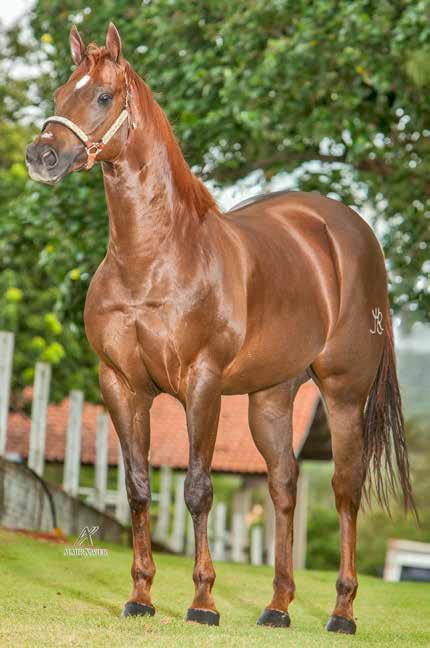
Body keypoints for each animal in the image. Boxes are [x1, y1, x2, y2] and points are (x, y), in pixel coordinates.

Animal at [25, 24, 414, 632]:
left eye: (104, 97)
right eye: (62, 92)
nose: (41, 156)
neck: (153, 257)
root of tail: (352, 233)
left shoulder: (201, 384)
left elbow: (197, 488)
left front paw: (203, 601)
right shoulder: (121, 385)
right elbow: (138, 488)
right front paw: (141, 596)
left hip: (344, 395)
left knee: (345, 491)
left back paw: (342, 611)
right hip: (270, 399)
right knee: (283, 486)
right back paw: (277, 606)